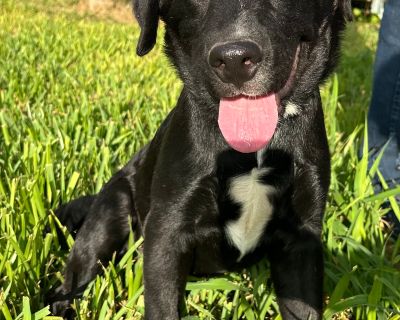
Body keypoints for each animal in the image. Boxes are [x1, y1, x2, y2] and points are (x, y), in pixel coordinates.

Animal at [48, 1, 352, 318]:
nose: (234, 60)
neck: (253, 151)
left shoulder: (301, 239)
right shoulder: (167, 229)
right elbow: (163, 307)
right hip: (107, 217)